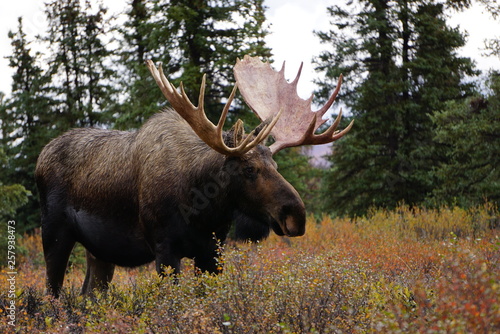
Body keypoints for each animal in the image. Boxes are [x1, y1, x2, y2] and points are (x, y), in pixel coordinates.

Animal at [36, 55, 352, 298]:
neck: (203, 211)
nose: (296, 215)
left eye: (275, 164)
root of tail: (42, 154)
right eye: (249, 169)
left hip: (100, 251)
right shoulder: (164, 248)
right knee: (53, 292)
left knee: (89, 293)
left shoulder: (212, 253)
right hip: (54, 232)